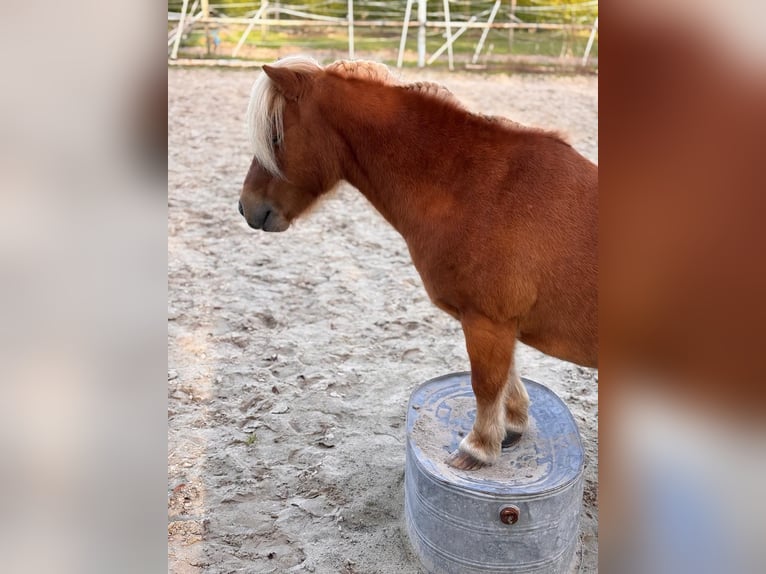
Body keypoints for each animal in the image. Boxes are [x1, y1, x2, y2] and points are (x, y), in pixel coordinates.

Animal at [238, 56, 598, 471]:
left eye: (275, 137)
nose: (246, 206)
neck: (479, 187)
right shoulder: (500, 325)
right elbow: (507, 375)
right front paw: (511, 427)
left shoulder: (487, 322)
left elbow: (487, 382)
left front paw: (477, 448)